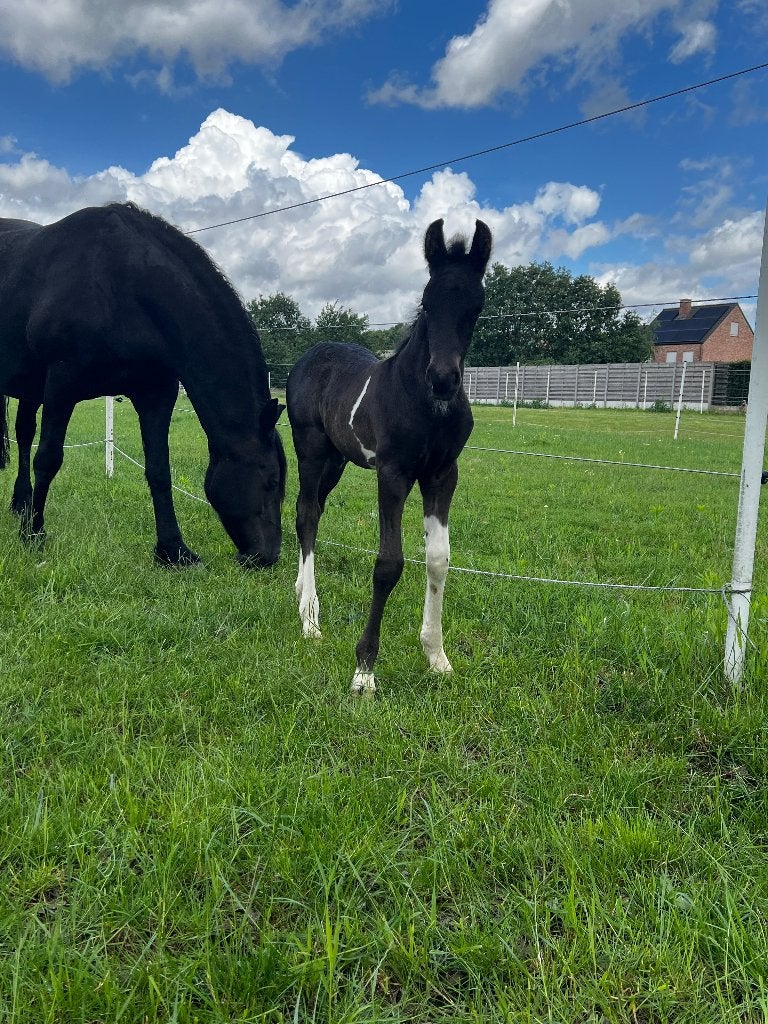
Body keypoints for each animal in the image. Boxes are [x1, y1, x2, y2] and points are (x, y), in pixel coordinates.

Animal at [0, 203, 286, 567]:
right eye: (271, 481)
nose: (267, 556)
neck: (119, 284)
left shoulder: (156, 393)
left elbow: (159, 470)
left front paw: (174, 550)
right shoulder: (61, 386)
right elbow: (48, 460)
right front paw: (33, 536)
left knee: (23, 435)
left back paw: (21, 504)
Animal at [287, 218, 492, 694]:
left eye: (476, 307)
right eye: (426, 302)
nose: (442, 379)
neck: (424, 403)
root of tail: (310, 355)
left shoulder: (442, 474)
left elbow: (438, 559)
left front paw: (437, 656)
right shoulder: (393, 473)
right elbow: (388, 564)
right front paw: (364, 671)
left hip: (337, 461)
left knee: (313, 512)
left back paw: (301, 594)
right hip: (310, 450)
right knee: (306, 513)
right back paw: (310, 620)